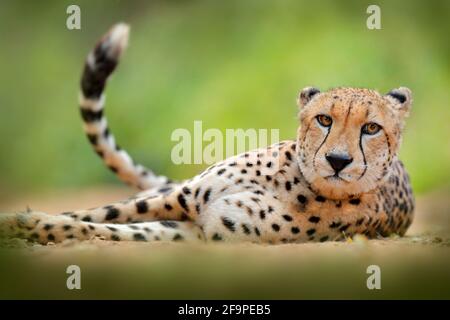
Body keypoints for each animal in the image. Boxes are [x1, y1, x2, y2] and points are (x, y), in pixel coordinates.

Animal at [0, 23, 414, 244]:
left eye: (371, 128)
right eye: (324, 120)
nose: (338, 160)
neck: (295, 182)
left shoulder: (200, 231)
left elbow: (112, 229)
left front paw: (29, 225)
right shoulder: (183, 198)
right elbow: (98, 213)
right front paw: (21, 222)